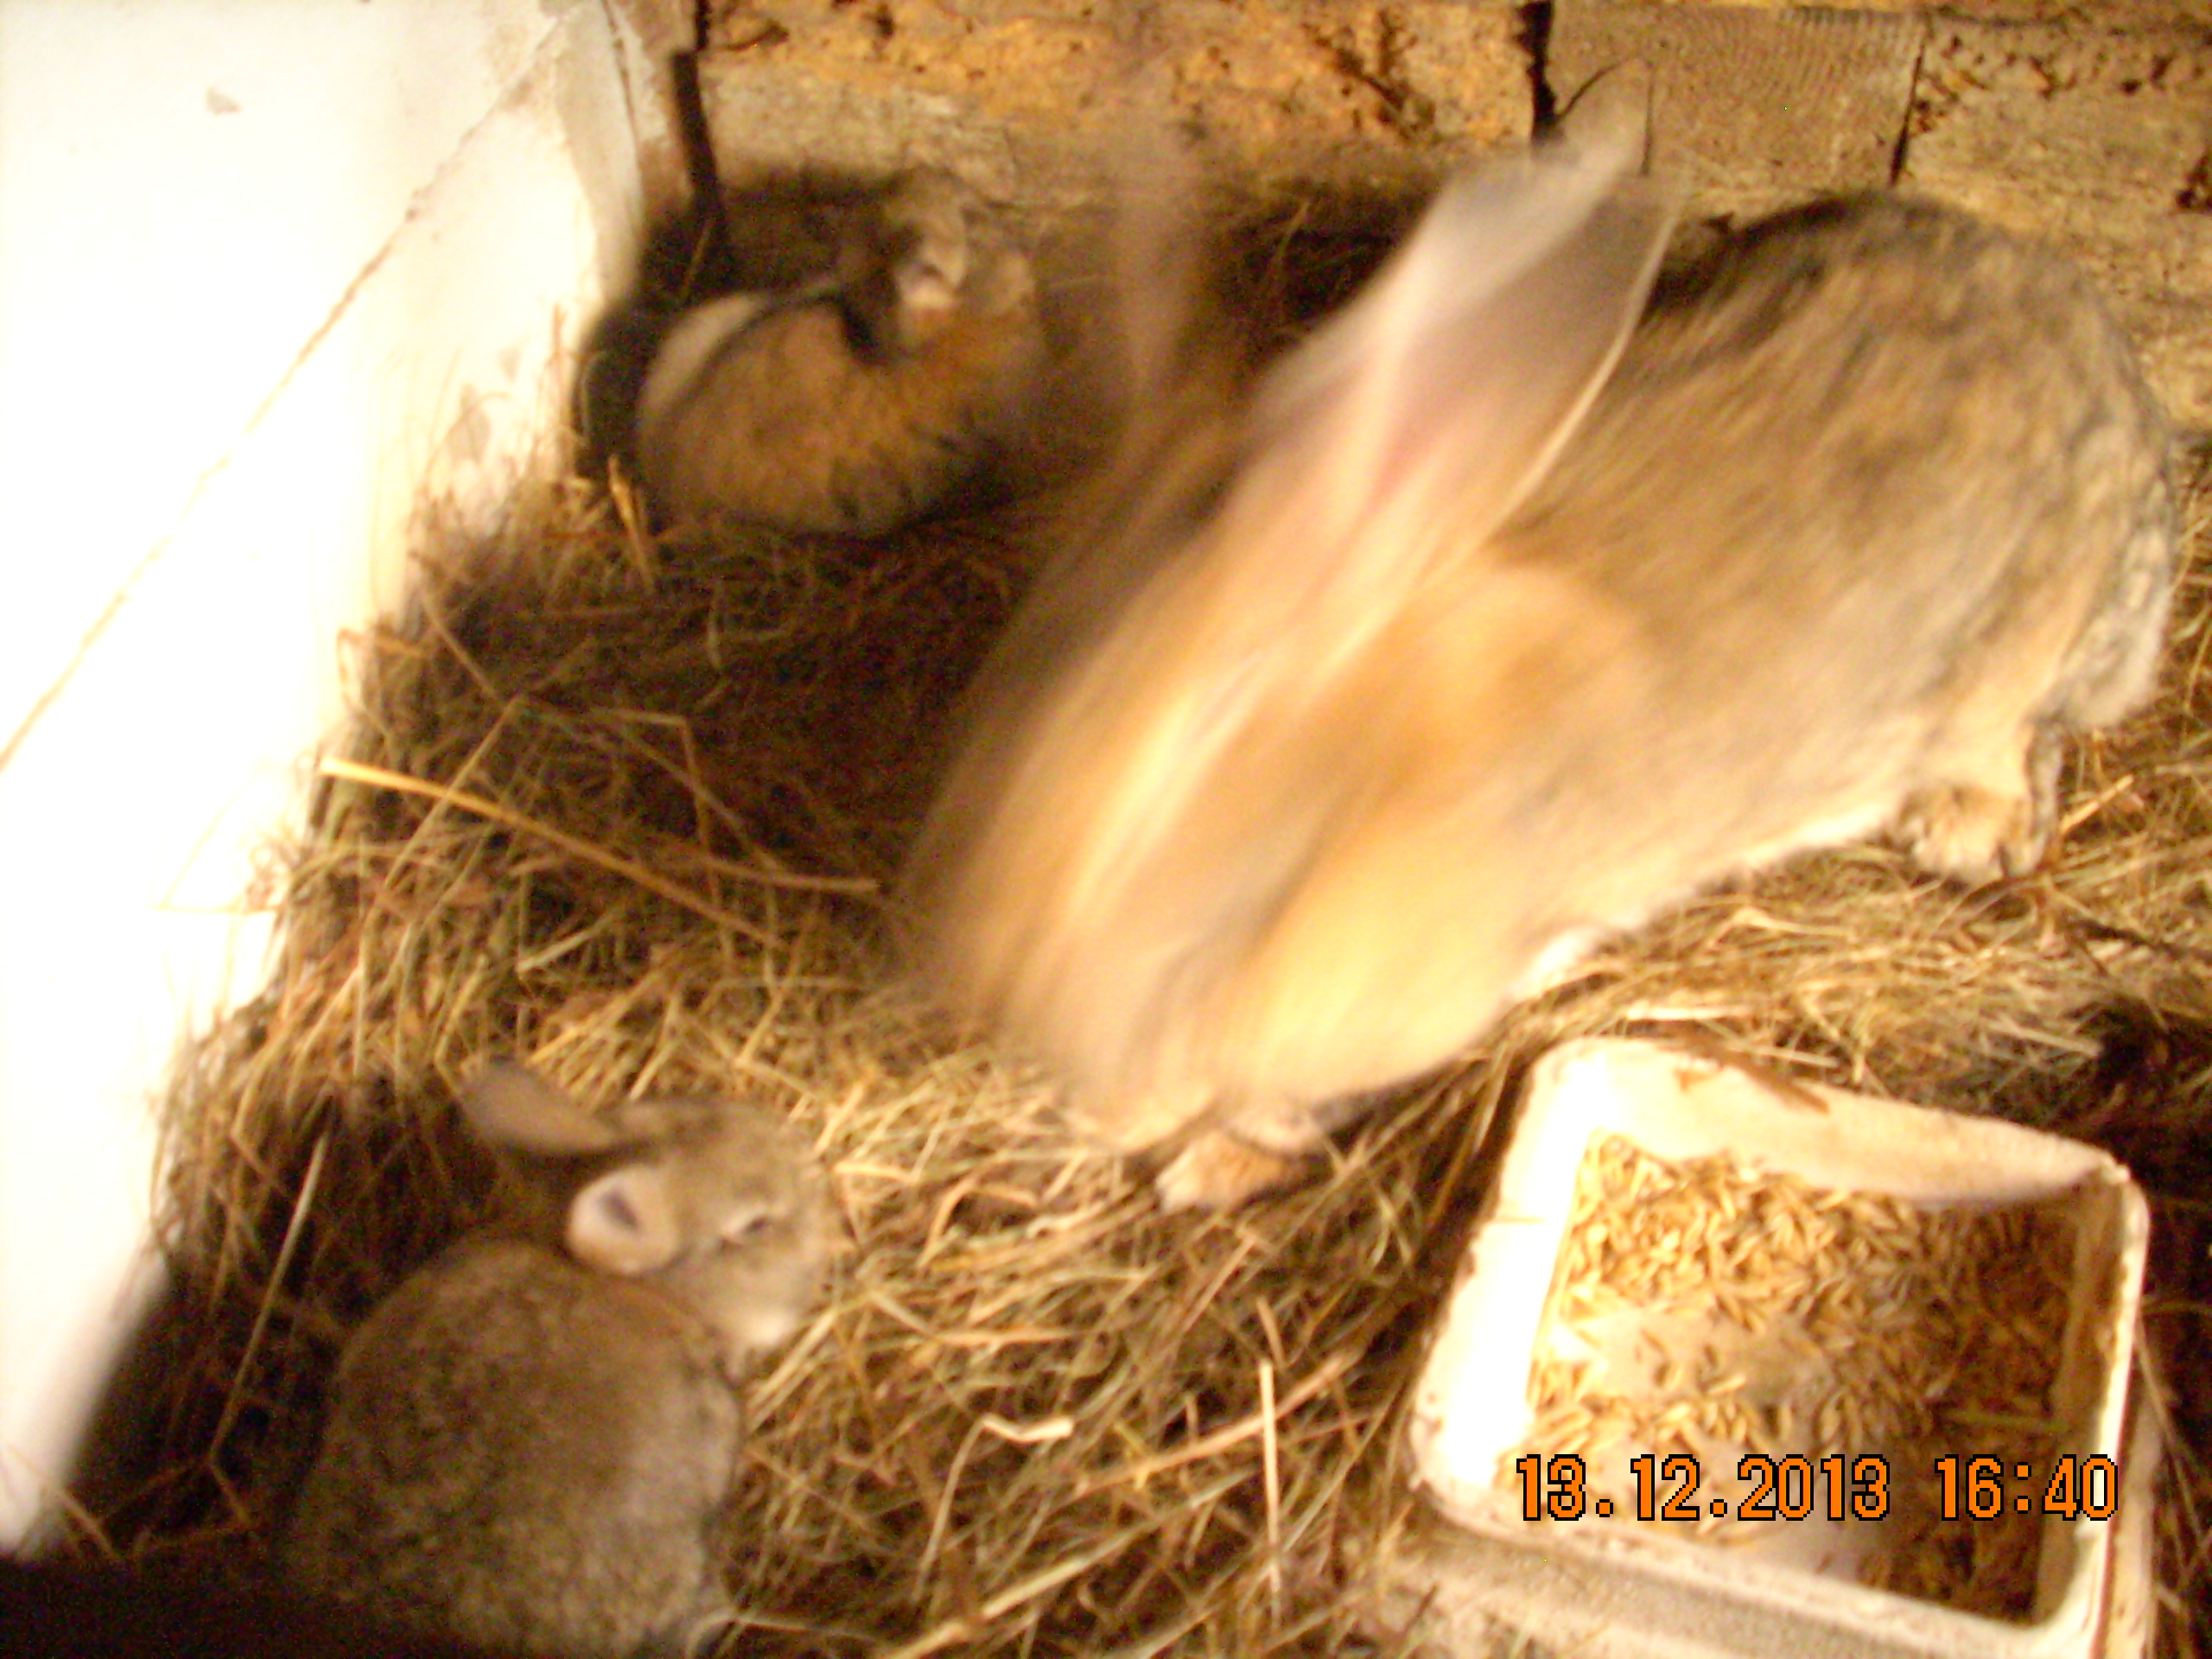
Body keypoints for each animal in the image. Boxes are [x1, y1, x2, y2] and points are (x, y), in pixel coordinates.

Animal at [903, 125, 2177, 1211]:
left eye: (1212, 719)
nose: (984, 961)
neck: (1346, 789)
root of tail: (2108, 352)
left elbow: (1281, 1101)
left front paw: (1196, 1161)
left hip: (2025, 653)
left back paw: (1968, 824)